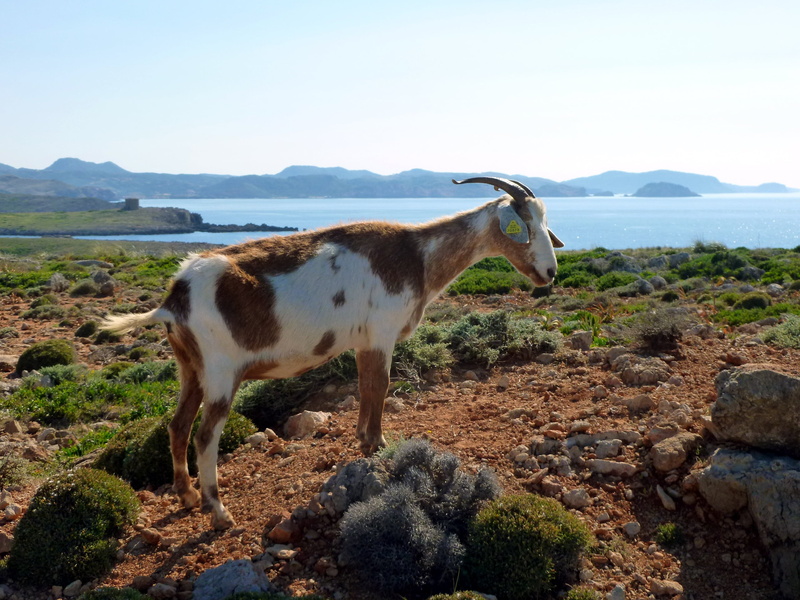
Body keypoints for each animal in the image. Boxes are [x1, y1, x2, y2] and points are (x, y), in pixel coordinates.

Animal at [102, 176, 563, 529]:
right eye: (523, 224)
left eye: (545, 221)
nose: (549, 272)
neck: (417, 255)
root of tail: (174, 298)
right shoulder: (381, 333)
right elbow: (380, 387)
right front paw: (377, 445)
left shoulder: (362, 341)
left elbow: (364, 387)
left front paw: (362, 439)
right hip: (220, 370)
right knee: (204, 435)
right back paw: (218, 512)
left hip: (190, 367)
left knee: (178, 426)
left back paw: (186, 497)